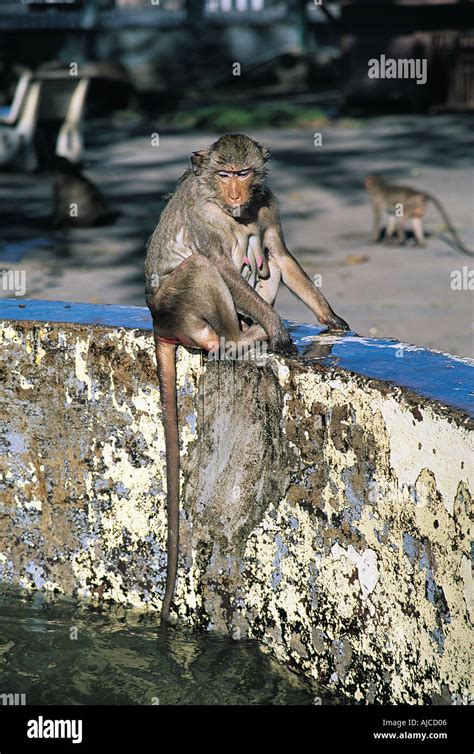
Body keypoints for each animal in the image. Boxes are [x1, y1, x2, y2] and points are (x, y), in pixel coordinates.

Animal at [144, 132, 348, 620]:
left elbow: (279, 252)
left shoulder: (266, 203)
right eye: (224, 174)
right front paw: (276, 330)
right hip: (177, 306)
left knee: (261, 254)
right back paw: (243, 336)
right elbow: (218, 264)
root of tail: (159, 324)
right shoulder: (206, 218)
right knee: (205, 267)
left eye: (244, 173)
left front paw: (330, 318)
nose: (236, 194)